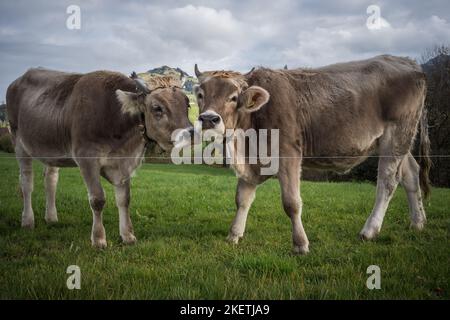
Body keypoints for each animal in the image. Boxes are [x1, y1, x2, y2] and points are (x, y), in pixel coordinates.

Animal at [6, 67, 193, 248]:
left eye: (187, 104)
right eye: (157, 108)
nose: (189, 133)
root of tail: (18, 80)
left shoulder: (123, 163)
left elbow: (124, 199)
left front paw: (127, 236)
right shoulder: (86, 158)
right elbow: (97, 199)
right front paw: (98, 239)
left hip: (51, 147)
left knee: (50, 180)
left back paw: (51, 218)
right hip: (18, 141)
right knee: (26, 182)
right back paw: (27, 221)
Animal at [195, 55, 430, 255]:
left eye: (233, 98)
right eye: (200, 95)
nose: (208, 119)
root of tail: (407, 62)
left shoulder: (288, 153)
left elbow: (291, 203)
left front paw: (300, 244)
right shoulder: (253, 161)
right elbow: (242, 199)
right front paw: (234, 235)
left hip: (397, 133)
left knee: (388, 181)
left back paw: (370, 230)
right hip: (399, 140)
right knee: (411, 174)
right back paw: (418, 222)